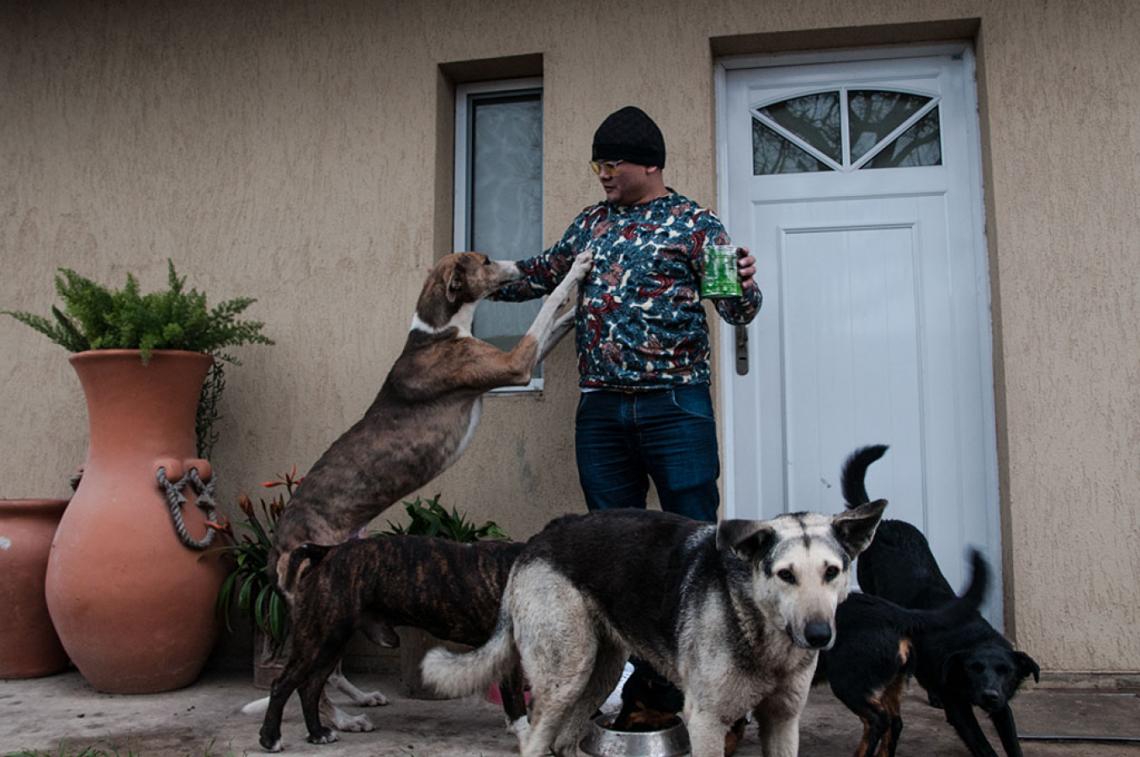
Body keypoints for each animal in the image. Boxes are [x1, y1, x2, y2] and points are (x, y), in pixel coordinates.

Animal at [258, 535, 524, 752]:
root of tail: (327, 552)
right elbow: (517, 702)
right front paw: (524, 733)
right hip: (318, 640)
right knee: (282, 685)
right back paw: (271, 739)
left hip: (330, 645)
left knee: (309, 687)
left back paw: (317, 734)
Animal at [424, 497, 884, 756]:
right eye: (786, 575)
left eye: (832, 572)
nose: (820, 636)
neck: (756, 622)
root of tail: (540, 536)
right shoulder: (706, 722)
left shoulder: (783, 721)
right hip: (564, 677)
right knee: (537, 743)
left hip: (600, 672)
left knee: (564, 742)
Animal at [848, 446, 1044, 752]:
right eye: (974, 669)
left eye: (1005, 671)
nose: (989, 695)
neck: (972, 637)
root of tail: (887, 524)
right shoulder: (959, 709)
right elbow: (983, 746)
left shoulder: (1001, 705)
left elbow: (1012, 741)